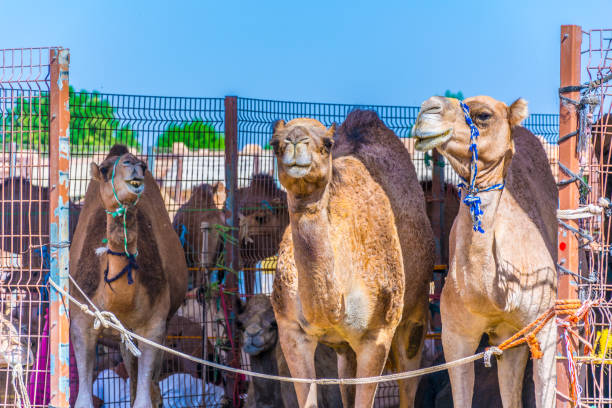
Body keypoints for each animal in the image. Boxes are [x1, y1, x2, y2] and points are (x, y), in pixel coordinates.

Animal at [70, 144, 188, 408]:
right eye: (105, 169)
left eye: (143, 165)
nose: (133, 164)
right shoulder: (81, 321)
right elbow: (82, 400)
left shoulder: (154, 325)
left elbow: (144, 399)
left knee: (150, 384)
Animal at [272, 110, 436, 406]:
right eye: (275, 142)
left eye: (327, 143)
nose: (295, 141)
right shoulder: (291, 329)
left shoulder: (377, 333)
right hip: (345, 347)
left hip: (414, 315)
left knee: (409, 378)